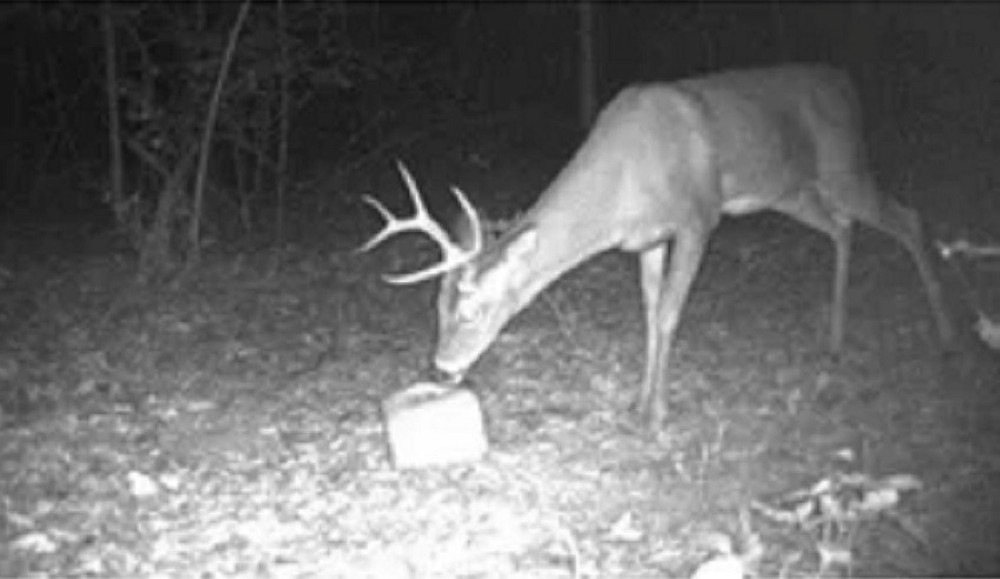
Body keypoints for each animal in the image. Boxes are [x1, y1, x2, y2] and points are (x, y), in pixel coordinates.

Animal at [359, 64, 955, 431]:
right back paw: (834, 341)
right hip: (792, 189)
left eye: (475, 311)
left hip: (843, 164)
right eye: (437, 308)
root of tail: (845, 80)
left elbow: (669, 313)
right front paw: (637, 401)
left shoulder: (697, 218)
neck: (622, 182)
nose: (441, 368)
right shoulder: (646, 240)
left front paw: (657, 414)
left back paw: (949, 330)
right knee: (841, 227)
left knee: (908, 218)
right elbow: (648, 313)